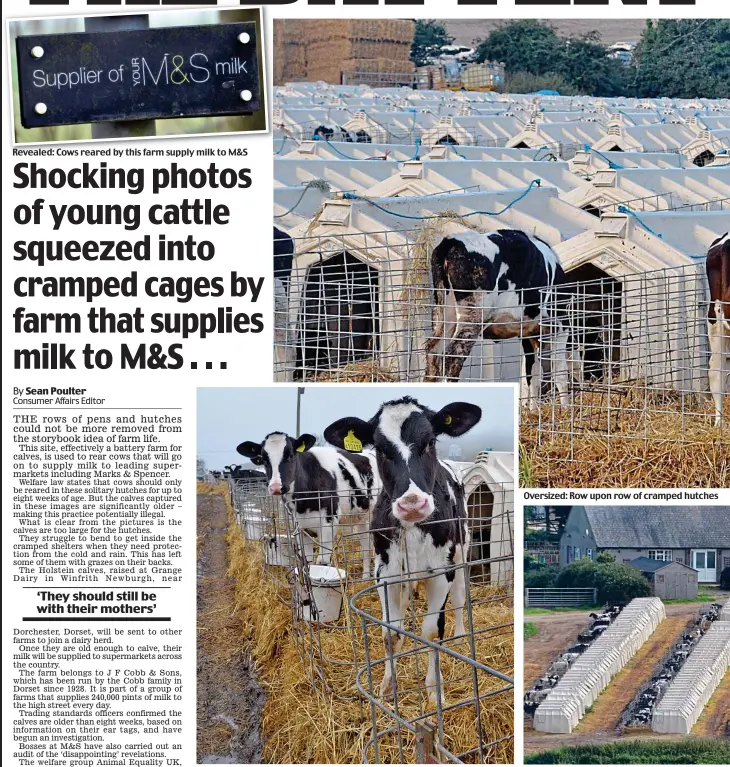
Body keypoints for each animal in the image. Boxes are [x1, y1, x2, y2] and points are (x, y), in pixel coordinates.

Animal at [236, 428, 378, 572]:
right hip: (361, 516)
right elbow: (307, 561)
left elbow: (322, 561)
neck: (303, 503)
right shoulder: (300, 527)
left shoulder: (329, 523)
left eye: (290, 455)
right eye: (264, 460)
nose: (276, 487)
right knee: (366, 546)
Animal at [324, 400, 478, 704]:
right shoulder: (385, 573)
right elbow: (389, 632)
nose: (412, 504)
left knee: (459, 598)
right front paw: (387, 686)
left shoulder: (441, 572)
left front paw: (434, 691)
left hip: (461, 553)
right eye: (380, 449)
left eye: (430, 442)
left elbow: (432, 631)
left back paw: (459, 635)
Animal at [420, 228, 568, 412]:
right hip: (473, 315)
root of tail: (452, 241)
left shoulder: (528, 333)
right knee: (454, 355)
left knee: (433, 351)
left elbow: (531, 373)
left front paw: (533, 411)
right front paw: (566, 411)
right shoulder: (560, 324)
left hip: (443, 313)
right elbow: (560, 372)